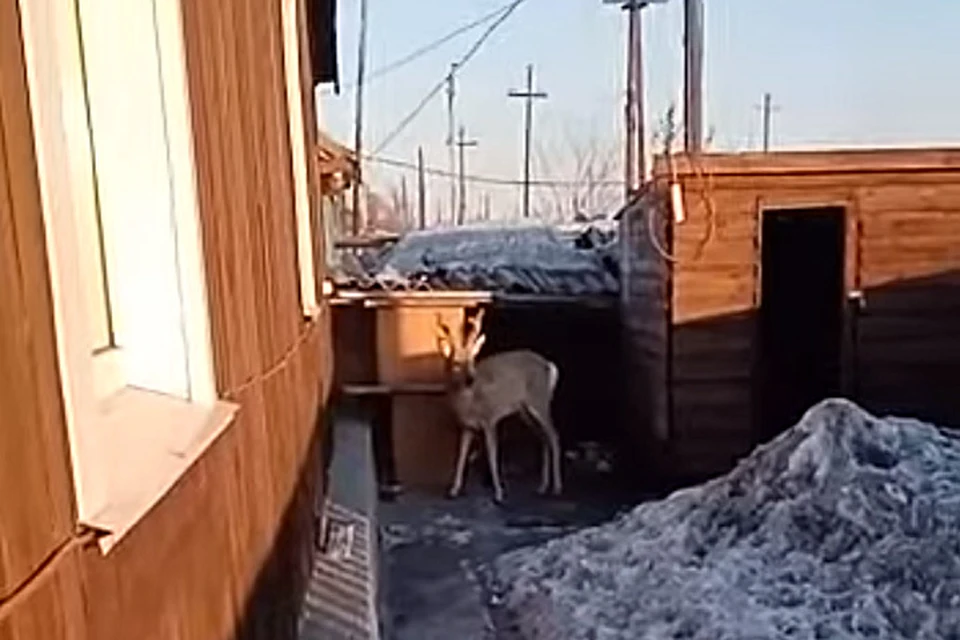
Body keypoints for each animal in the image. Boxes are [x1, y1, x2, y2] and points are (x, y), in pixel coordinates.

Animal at [436, 308, 564, 502]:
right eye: (456, 362)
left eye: (473, 360)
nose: (471, 378)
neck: (469, 402)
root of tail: (550, 366)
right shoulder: (467, 426)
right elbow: (461, 455)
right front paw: (454, 490)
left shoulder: (490, 419)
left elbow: (492, 454)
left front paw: (498, 493)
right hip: (524, 411)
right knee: (543, 438)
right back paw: (542, 487)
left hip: (540, 400)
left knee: (554, 436)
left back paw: (556, 488)